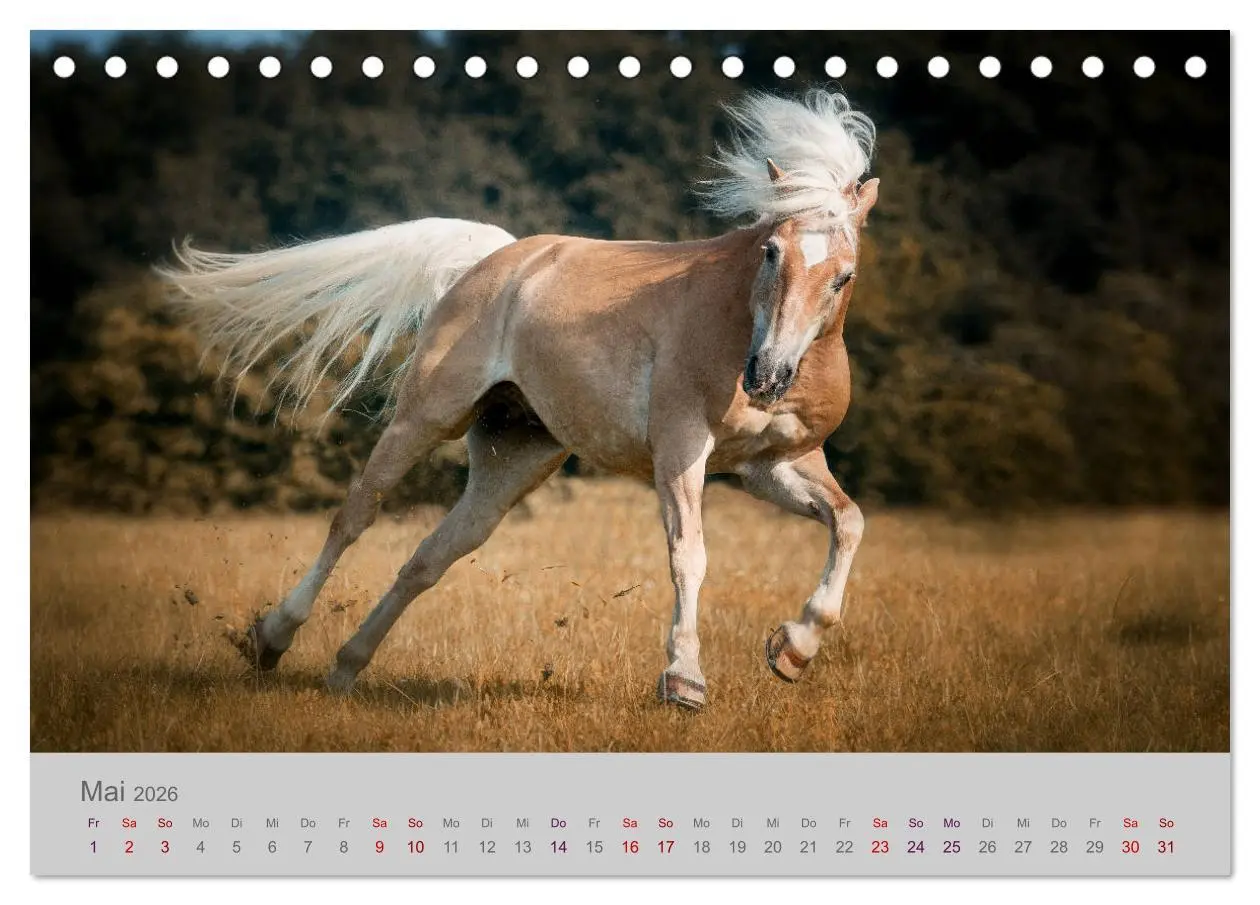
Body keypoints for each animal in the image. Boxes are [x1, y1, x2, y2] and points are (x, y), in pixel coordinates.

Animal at [158, 88, 879, 711]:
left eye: (843, 276)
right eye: (771, 251)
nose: (767, 375)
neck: (736, 319)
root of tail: (503, 258)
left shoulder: (770, 466)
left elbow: (849, 521)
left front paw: (793, 650)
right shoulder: (680, 448)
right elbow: (690, 554)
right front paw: (684, 680)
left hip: (514, 458)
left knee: (429, 557)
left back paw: (345, 669)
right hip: (427, 416)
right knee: (354, 516)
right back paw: (271, 638)